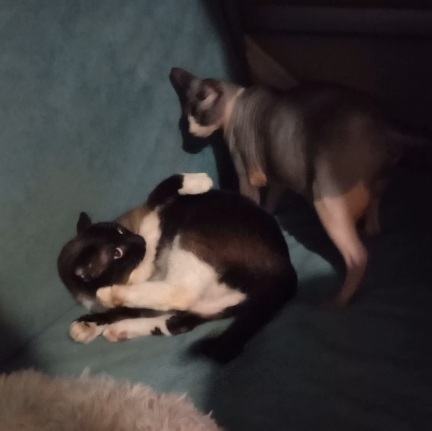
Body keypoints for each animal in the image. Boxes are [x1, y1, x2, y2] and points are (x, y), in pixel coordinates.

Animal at [58, 173, 297, 362]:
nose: (138, 239)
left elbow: (164, 188)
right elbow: (121, 310)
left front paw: (200, 181)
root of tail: (288, 269)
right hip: (217, 300)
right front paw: (88, 325)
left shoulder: (151, 224)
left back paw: (111, 302)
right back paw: (119, 327)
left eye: (120, 232)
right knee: (179, 319)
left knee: (181, 294)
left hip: (191, 236)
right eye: (117, 253)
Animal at [169, 67, 431, 308]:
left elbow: (254, 202)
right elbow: (271, 201)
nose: (190, 131)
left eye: (198, 115)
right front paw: (270, 215)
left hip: (326, 198)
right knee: (374, 214)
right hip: (377, 183)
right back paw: (372, 230)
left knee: (359, 255)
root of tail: (387, 125)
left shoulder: (246, 176)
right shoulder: (278, 174)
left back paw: (338, 301)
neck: (236, 104)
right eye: (185, 120)